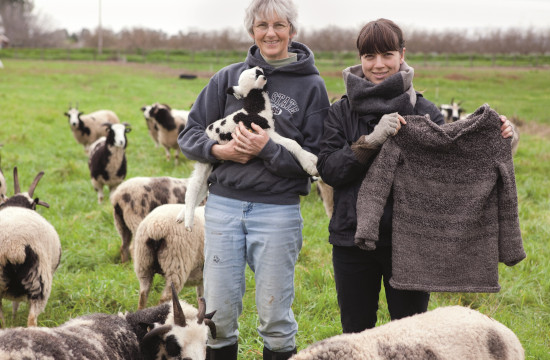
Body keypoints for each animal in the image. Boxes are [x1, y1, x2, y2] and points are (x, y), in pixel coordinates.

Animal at [179, 67, 320, 231]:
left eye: (259, 71)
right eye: (256, 75)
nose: (264, 75)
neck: (255, 109)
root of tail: (207, 132)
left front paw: (312, 159)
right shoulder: (264, 132)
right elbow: (292, 143)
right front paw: (310, 164)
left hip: (211, 164)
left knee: (202, 189)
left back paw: (181, 216)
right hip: (205, 161)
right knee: (194, 187)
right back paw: (188, 222)